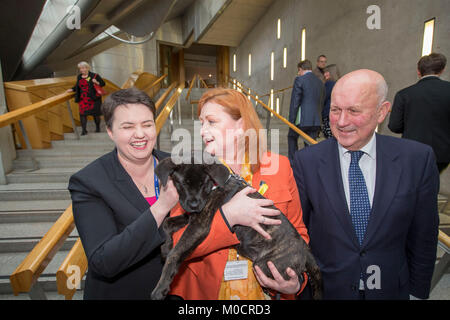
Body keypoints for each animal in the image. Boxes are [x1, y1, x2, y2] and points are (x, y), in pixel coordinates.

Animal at [153, 155, 322, 300]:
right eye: (181, 184)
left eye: (204, 184)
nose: (194, 205)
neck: (214, 186)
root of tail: (306, 251)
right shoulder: (192, 217)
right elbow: (167, 223)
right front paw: (165, 247)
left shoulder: (199, 225)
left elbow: (175, 254)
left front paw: (160, 288)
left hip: (265, 264)